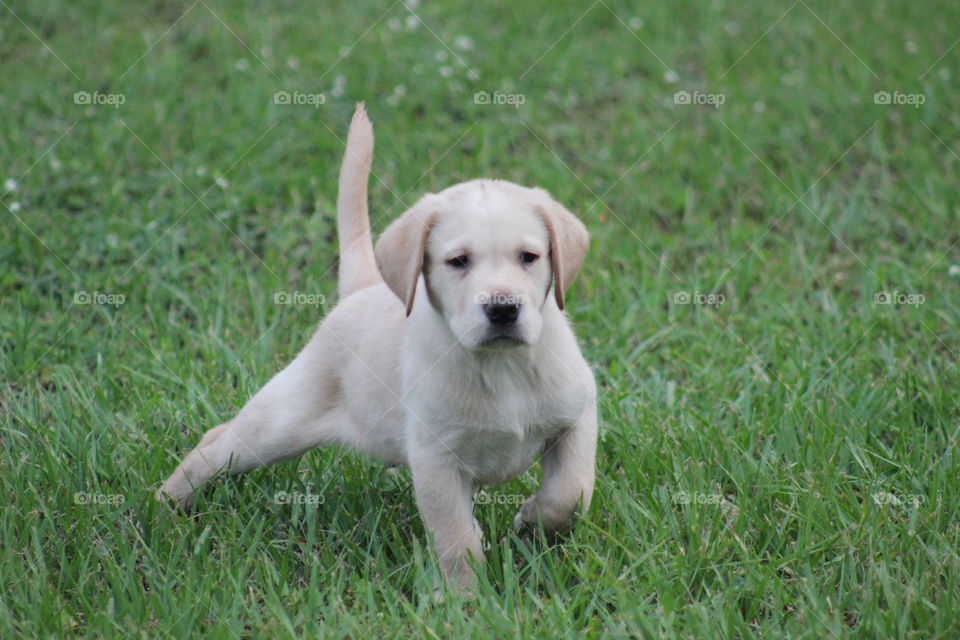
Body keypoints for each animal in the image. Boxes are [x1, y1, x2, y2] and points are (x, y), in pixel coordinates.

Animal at [160, 104, 596, 592]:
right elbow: (455, 538)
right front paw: (466, 598)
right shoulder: (434, 460)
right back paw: (166, 504)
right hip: (281, 423)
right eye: (458, 261)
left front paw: (533, 521)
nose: (503, 309)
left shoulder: (579, 415)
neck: (503, 367)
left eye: (529, 257)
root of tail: (360, 291)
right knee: (219, 442)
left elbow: (571, 492)